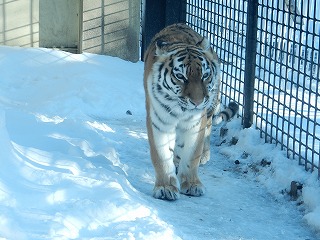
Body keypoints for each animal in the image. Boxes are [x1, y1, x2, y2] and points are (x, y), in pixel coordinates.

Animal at [142, 23, 238, 201]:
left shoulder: (196, 123)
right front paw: (165, 187)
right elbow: (161, 156)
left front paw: (192, 184)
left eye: (205, 76)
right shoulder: (159, 122)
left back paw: (203, 156)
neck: (180, 110)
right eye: (180, 76)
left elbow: (192, 154)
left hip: (210, 107)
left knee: (208, 128)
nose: (198, 102)